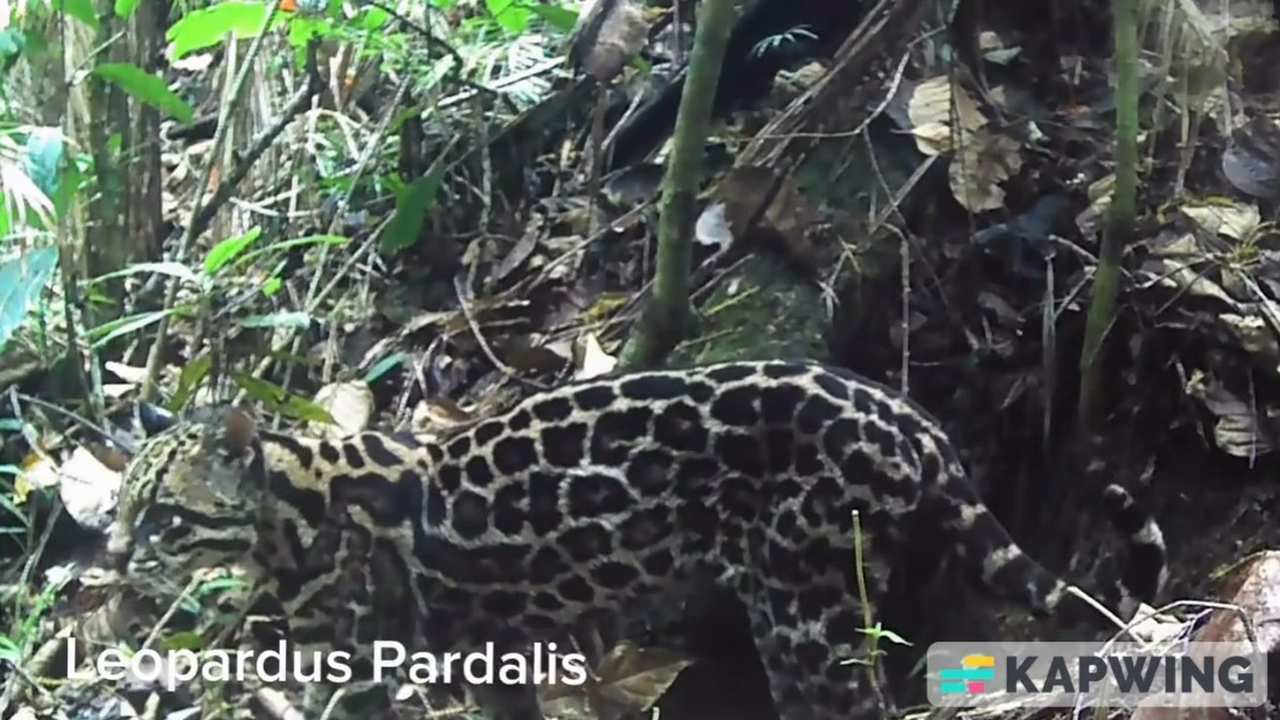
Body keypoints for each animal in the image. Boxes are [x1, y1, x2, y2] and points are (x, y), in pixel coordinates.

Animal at [105, 360, 1167, 720]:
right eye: (117, 510)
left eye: (160, 519)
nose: (111, 565)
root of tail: (907, 416)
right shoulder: (484, 654)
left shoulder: (360, 669)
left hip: (798, 607)